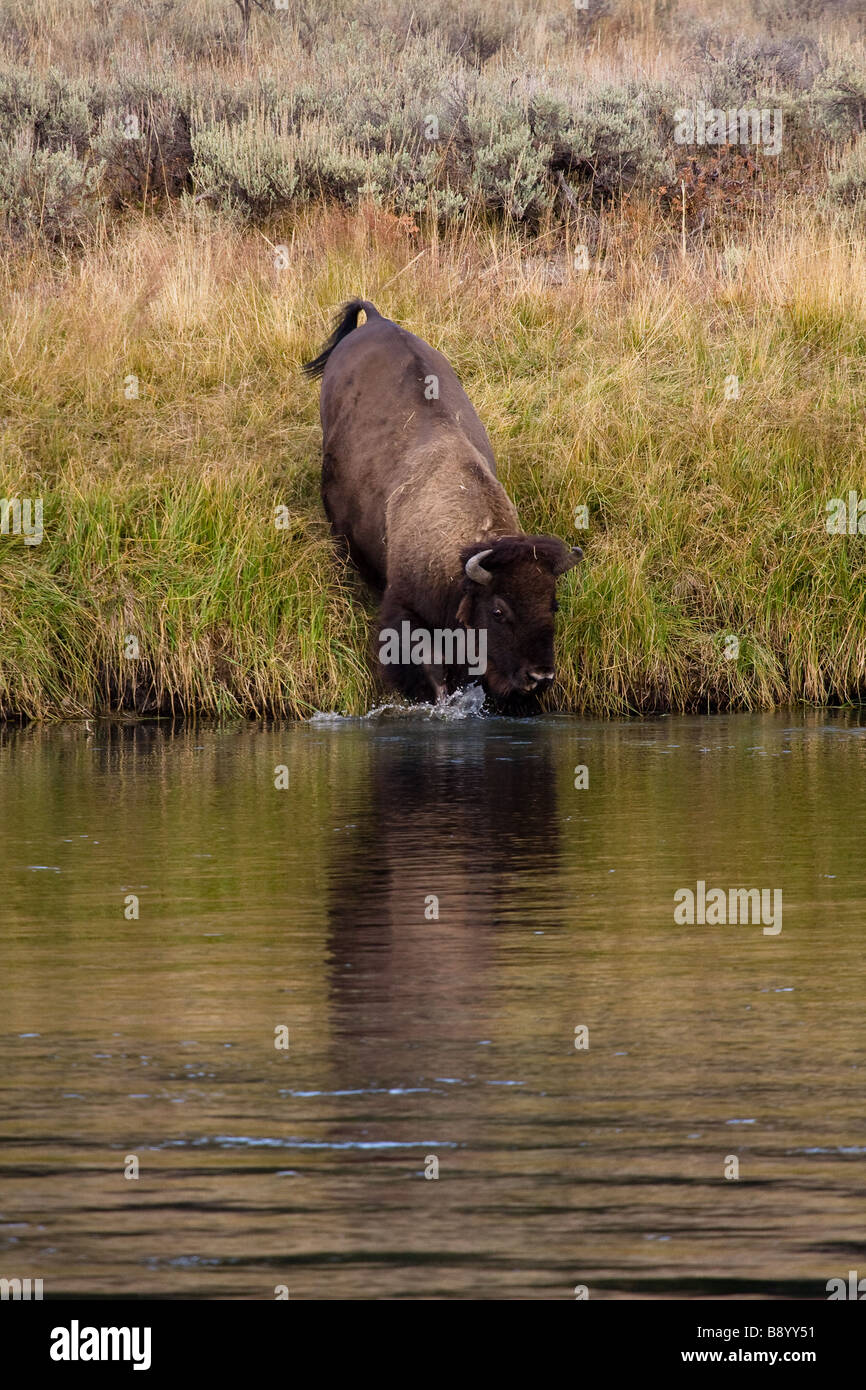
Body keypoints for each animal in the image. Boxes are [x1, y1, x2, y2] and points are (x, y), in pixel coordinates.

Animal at [304, 299, 582, 704]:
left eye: (553, 604)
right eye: (498, 611)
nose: (540, 675)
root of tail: (374, 320)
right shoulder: (405, 611)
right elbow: (430, 670)